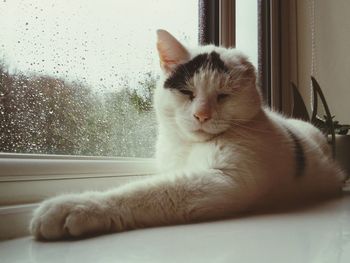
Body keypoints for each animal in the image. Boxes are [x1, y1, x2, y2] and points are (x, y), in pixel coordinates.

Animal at [29, 29, 344, 241]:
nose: (202, 115)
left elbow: (145, 192)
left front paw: (76, 206)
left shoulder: (223, 179)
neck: (186, 147)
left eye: (223, 96)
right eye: (186, 92)